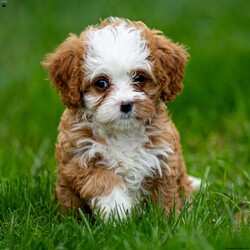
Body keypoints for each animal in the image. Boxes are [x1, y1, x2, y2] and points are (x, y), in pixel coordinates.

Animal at [42, 17, 200, 221]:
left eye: (139, 77)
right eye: (101, 83)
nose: (126, 104)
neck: (122, 132)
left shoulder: (162, 160)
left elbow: (164, 197)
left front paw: (168, 220)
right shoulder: (80, 158)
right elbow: (104, 182)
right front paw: (119, 214)